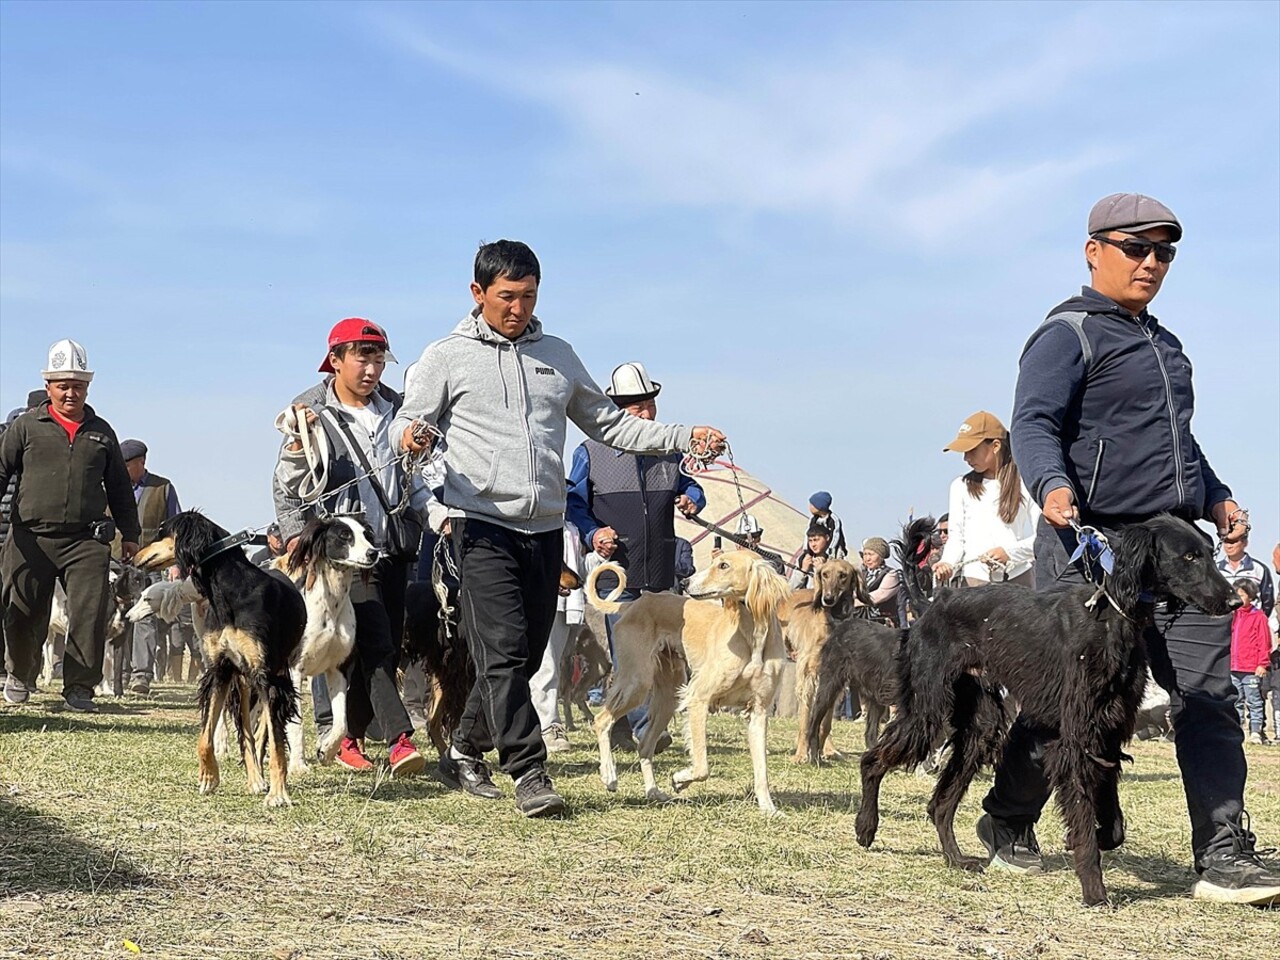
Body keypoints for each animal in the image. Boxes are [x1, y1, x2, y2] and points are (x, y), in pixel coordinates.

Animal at [134, 514, 304, 808]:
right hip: (243, 681)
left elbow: (276, 743)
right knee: (247, 731)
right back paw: (255, 779)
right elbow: (205, 737)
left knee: (265, 731)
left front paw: (278, 793)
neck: (230, 592)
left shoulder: (267, 677)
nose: (134, 556)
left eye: (161, 531)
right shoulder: (220, 670)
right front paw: (209, 777)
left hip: (273, 676)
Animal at [860, 514, 1239, 906]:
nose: (1234, 601)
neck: (1110, 615)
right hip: (927, 712)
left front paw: (1101, 836)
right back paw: (866, 828)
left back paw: (956, 858)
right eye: (1189, 556)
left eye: (1210, 551)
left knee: (940, 804)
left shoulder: (1108, 732)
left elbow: (1112, 822)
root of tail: (932, 602)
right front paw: (1094, 890)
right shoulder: (1076, 740)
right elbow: (1084, 818)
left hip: (980, 728)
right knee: (872, 761)